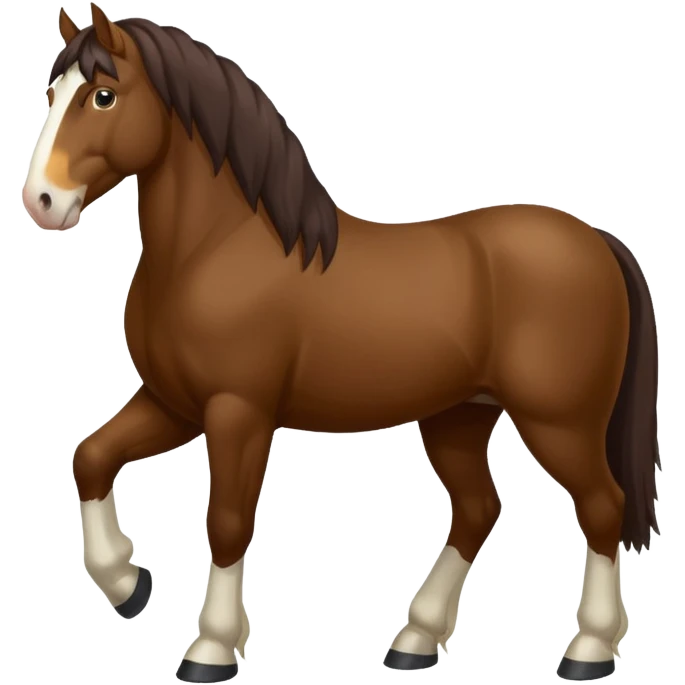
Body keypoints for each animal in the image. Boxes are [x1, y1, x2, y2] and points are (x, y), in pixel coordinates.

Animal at [22, 5, 662, 683]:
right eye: (51, 94)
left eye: (103, 95)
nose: (41, 202)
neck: (214, 250)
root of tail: (599, 242)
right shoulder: (174, 404)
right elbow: (90, 458)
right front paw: (129, 585)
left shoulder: (238, 412)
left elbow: (226, 521)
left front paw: (210, 649)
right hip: (459, 417)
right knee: (479, 510)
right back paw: (415, 641)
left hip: (560, 422)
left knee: (601, 506)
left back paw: (588, 650)